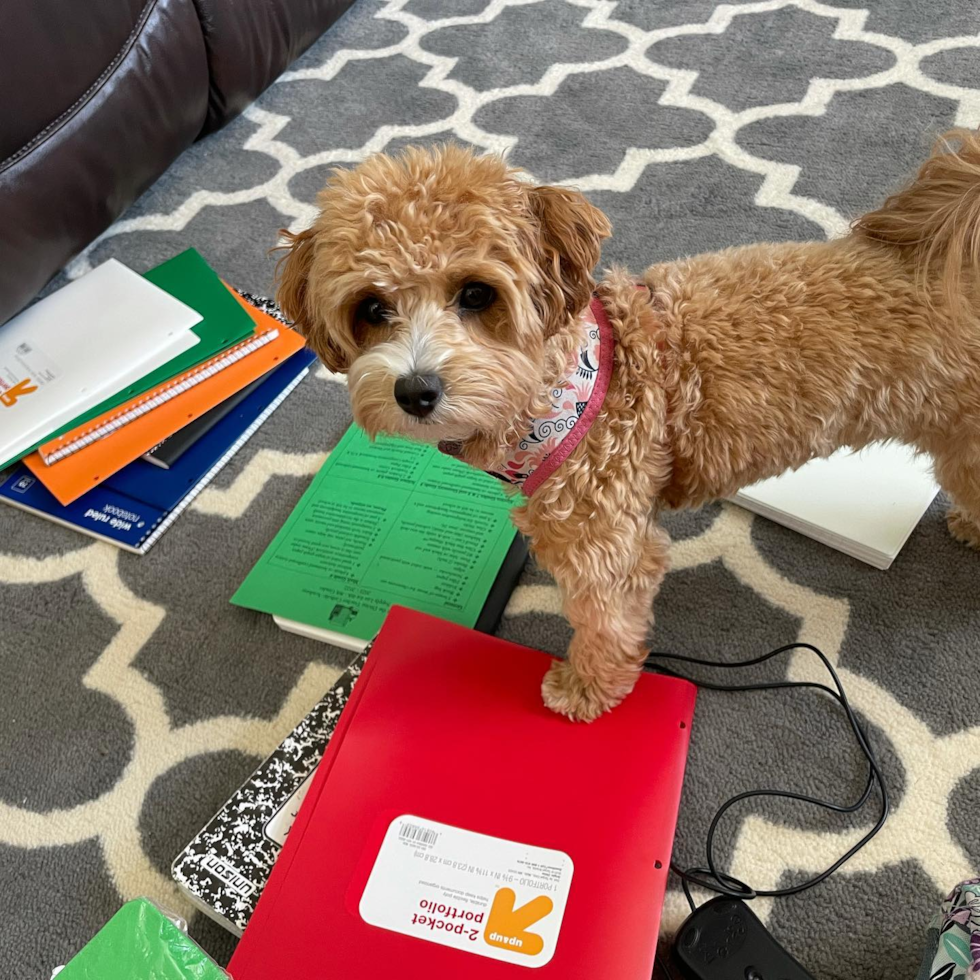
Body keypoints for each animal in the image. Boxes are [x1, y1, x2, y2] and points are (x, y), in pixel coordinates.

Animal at [276, 132, 980, 720]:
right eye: (372, 308)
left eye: (477, 294)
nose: (416, 390)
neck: (572, 391)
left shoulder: (604, 545)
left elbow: (606, 625)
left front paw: (587, 690)